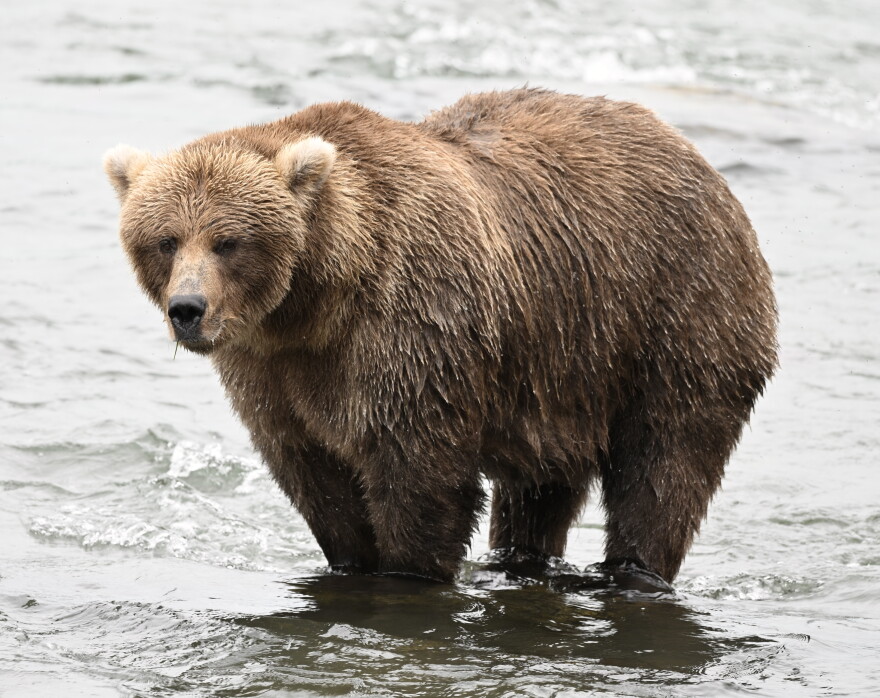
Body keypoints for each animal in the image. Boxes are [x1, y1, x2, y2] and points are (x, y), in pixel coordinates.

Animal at [104, 88, 777, 584]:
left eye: (228, 241)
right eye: (165, 239)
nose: (187, 309)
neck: (317, 301)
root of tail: (699, 160)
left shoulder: (412, 325)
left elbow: (420, 476)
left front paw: (407, 572)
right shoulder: (273, 368)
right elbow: (315, 476)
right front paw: (350, 561)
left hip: (675, 315)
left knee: (664, 464)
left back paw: (632, 571)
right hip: (562, 364)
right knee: (540, 486)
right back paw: (520, 562)